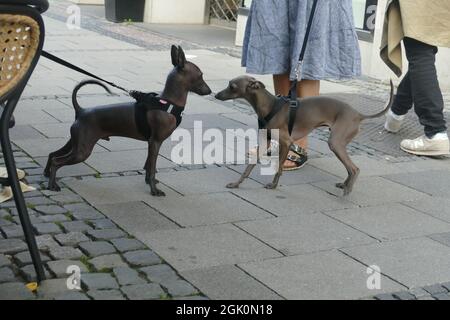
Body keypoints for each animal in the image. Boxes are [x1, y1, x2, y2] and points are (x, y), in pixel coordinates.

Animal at [44, 45, 211, 195]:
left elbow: (148, 166)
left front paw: (149, 182)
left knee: (52, 155)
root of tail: (81, 111)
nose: (210, 91)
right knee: (57, 161)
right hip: (82, 151)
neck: (168, 103)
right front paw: (154, 190)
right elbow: (152, 168)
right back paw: (52, 185)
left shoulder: (152, 144)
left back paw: (46, 174)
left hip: (75, 143)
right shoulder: (155, 142)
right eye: (200, 75)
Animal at [215, 76, 394, 195]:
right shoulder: (265, 142)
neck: (270, 106)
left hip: (335, 143)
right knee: (350, 169)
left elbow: (279, 169)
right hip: (339, 142)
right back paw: (344, 185)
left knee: (354, 168)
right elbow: (248, 167)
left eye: (232, 86)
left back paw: (348, 189)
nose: (216, 95)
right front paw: (236, 184)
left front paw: (273, 186)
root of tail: (358, 114)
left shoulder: (286, 142)